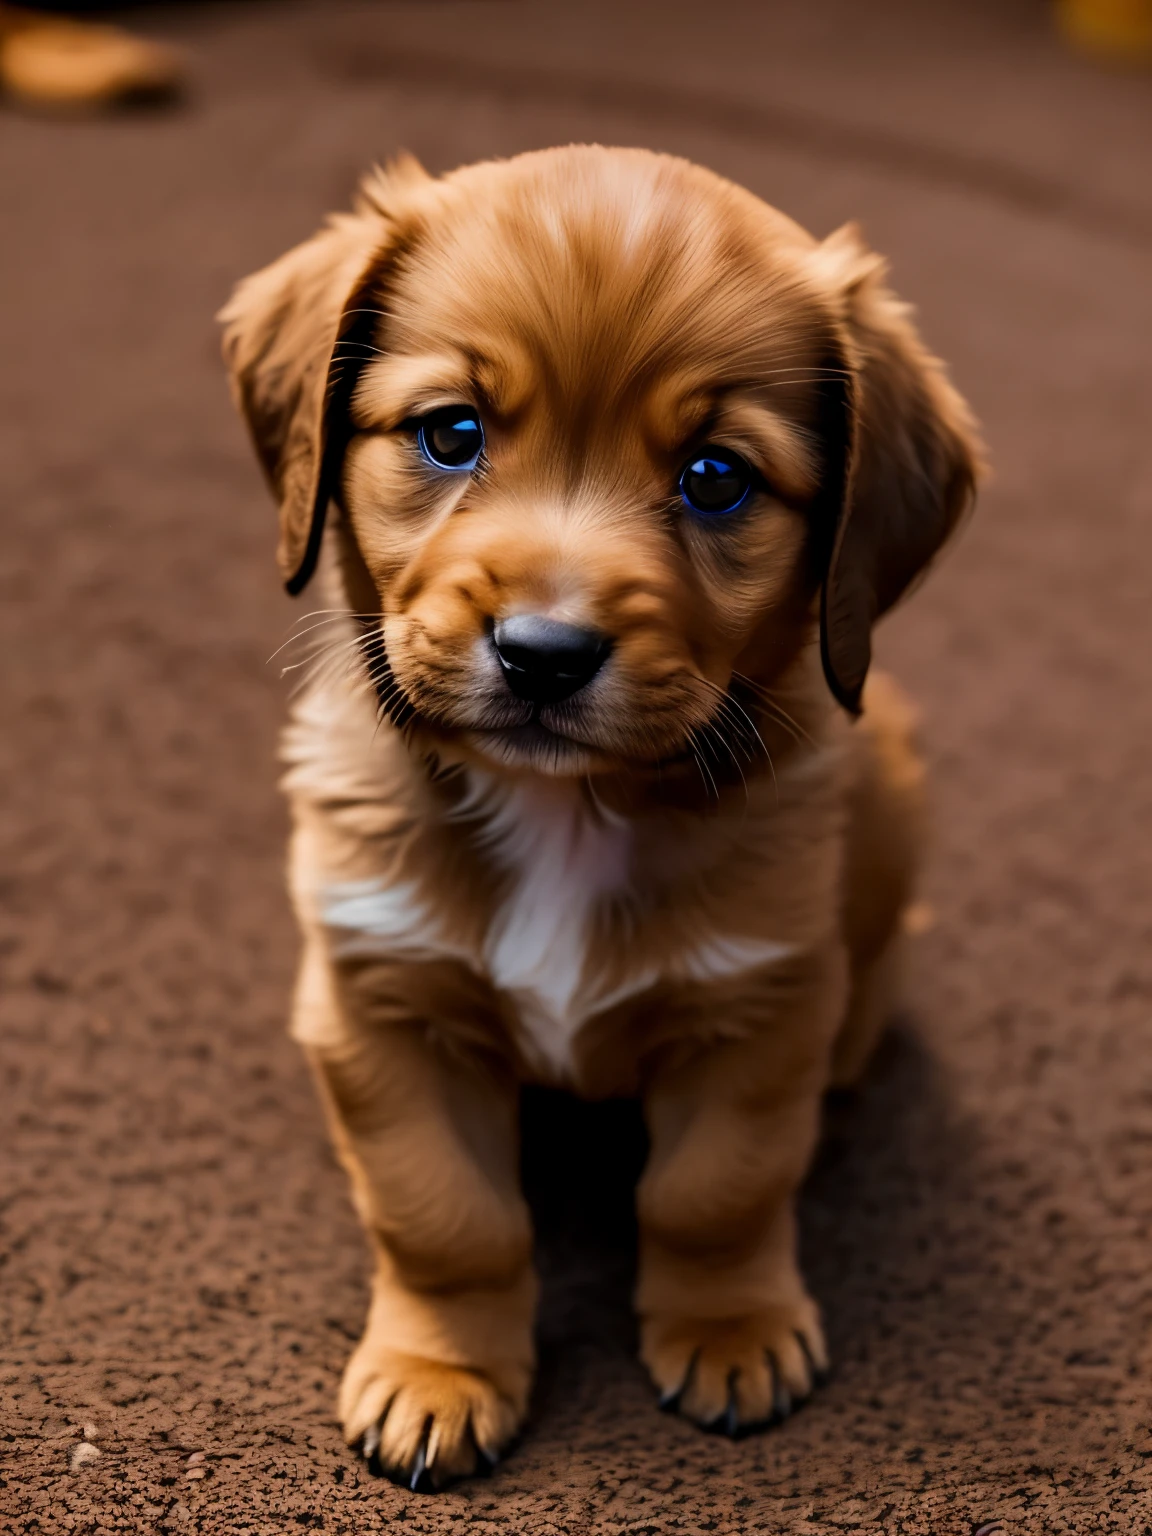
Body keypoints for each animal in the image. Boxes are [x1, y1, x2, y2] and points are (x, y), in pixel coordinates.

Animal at [221, 144, 976, 1486]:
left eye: (716, 478)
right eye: (452, 432)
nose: (544, 654)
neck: (564, 815)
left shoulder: (761, 1008)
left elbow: (715, 1191)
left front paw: (731, 1330)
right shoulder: (379, 1004)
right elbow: (444, 1214)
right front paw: (442, 1372)